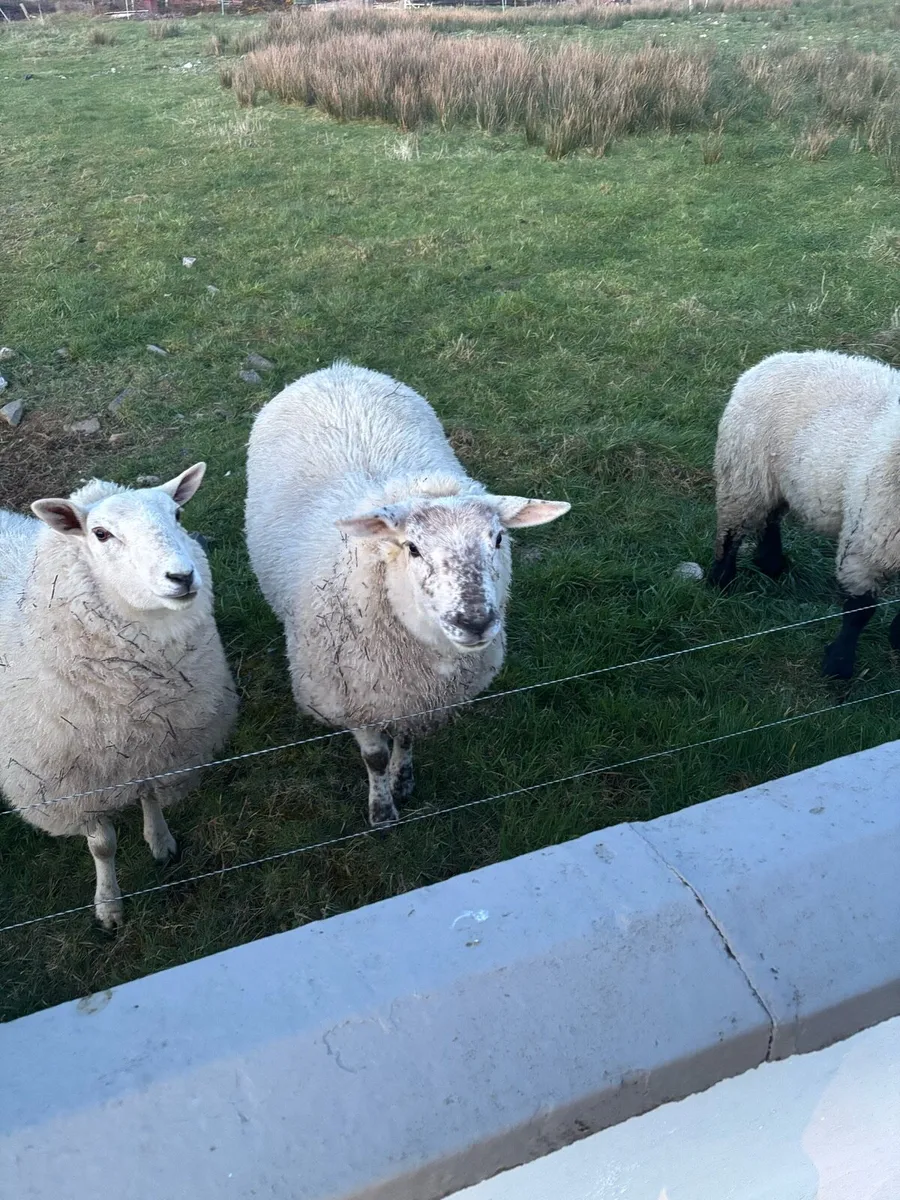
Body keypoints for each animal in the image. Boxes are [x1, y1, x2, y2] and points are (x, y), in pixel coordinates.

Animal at [0, 464, 238, 927]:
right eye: (101, 534)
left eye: (177, 516)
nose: (182, 577)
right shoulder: (78, 784)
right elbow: (102, 846)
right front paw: (108, 905)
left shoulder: (156, 747)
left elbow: (150, 796)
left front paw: (160, 842)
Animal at [245, 362, 570, 826]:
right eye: (412, 548)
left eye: (497, 539)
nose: (474, 622)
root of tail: (339, 368)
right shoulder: (357, 700)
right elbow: (376, 758)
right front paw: (382, 811)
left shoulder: (417, 700)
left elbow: (407, 738)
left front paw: (404, 780)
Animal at [710, 348, 900, 679]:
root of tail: (776, 358)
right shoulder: (866, 543)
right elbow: (859, 611)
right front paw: (838, 665)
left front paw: (898, 637)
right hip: (745, 472)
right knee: (734, 529)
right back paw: (722, 580)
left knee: (769, 519)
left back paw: (770, 564)